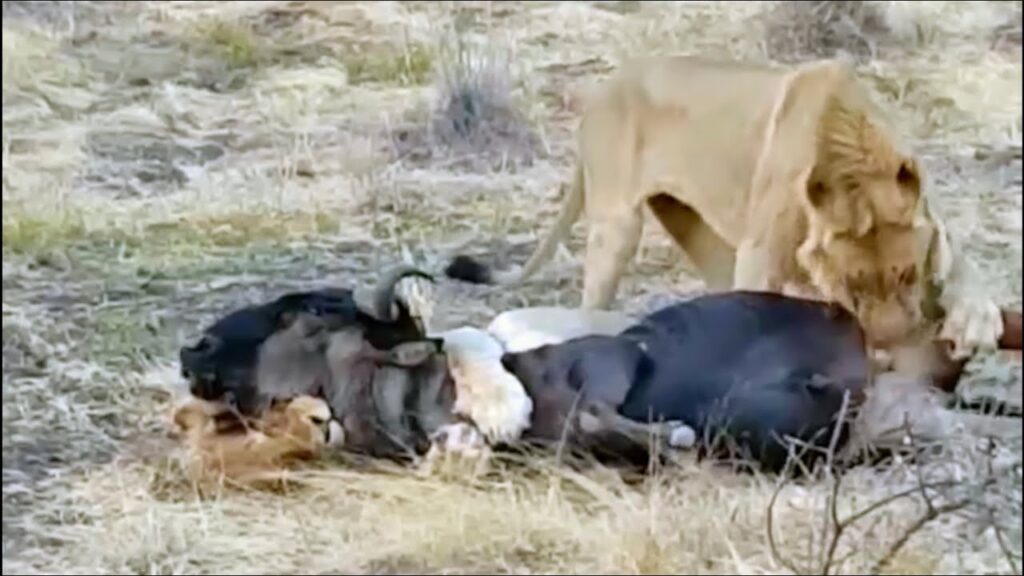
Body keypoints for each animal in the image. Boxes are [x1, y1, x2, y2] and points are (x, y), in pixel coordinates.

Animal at [444, 55, 1004, 362]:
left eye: (908, 275)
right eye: (852, 287)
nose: (891, 345)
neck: (852, 155)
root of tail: (603, 90)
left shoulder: (934, 223)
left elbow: (970, 274)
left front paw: (977, 323)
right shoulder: (761, 252)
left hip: (694, 226)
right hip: (617, 227)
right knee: (593, 299)